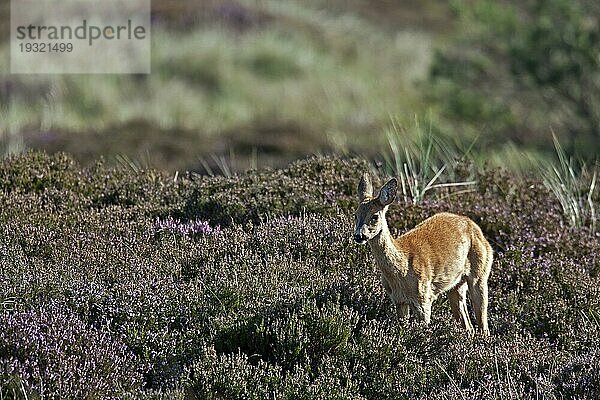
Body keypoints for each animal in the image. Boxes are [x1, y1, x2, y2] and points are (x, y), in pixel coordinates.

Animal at [354, 172, 490, 334]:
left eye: (375, 216)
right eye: (355, 214)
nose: (359, 236)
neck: (402, 271)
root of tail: (477, 228)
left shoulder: (424, 298)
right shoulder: (398, 300)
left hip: (480, 273)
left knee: (483, 323)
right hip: (455, 284)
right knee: (468, 325)